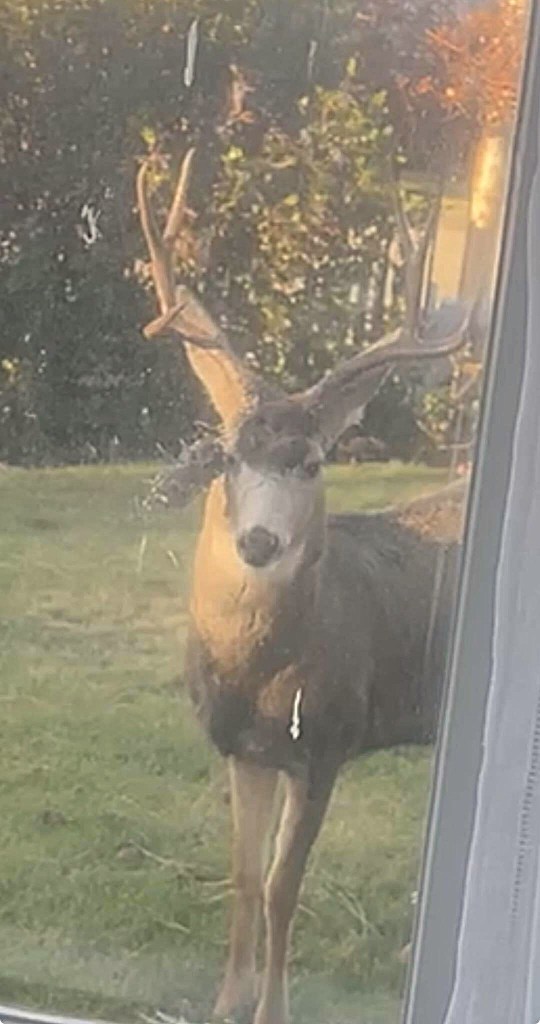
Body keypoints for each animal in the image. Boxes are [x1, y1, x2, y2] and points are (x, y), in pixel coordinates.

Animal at [136, 144, 469, 1024]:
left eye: (313, 462)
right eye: (227, 455)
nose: (259, 539)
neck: (258, 670)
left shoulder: (325, 742)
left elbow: (286, 887)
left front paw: (273, 1009)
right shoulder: (240, 749)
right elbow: (247, 879)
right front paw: (225, 1001)